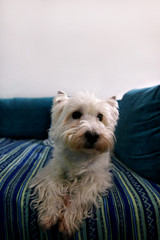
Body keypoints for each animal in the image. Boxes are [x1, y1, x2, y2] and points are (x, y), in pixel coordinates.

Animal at [29, 91, 119, 237]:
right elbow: (53, 190)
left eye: (100, 116)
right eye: (76, 114)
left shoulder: (96, 178)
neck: (80, 154)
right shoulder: (52, 172)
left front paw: (67, 221)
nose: (93, 135)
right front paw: (49, 215)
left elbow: (80, 197)